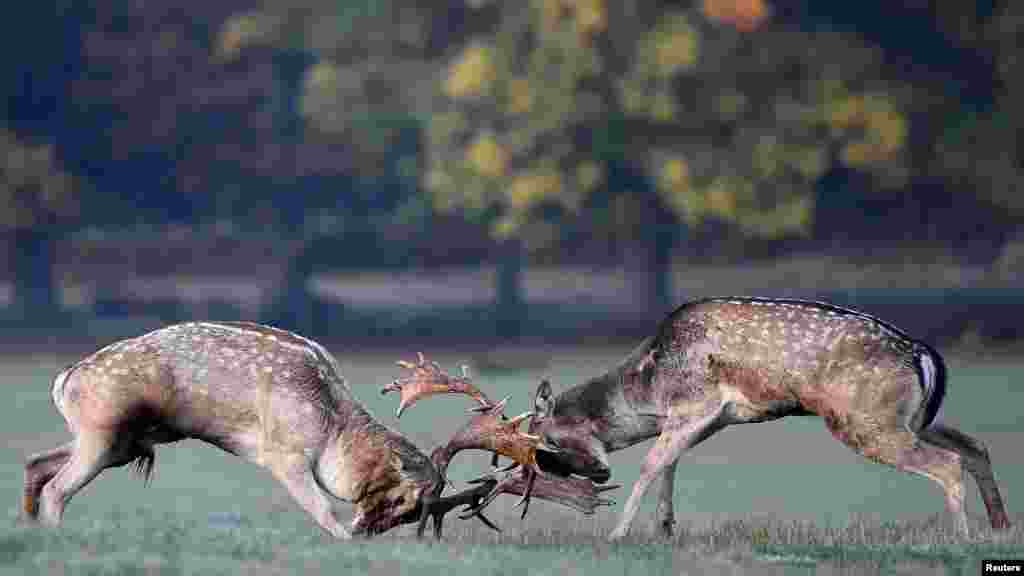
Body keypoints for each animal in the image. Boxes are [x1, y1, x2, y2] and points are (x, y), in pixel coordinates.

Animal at [22, 319, 614, 537]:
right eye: (408, 502)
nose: (368, 533)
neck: (330, 423)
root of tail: (62, 380)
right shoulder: (284, 454)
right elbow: (323, 511)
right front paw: (341, 537)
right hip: (103, 431)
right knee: (58, 487)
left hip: (119, 444)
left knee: (37, 463)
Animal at [512, 295, 1007, 537]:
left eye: (547, 442)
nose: (597, 473)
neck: (649, 387)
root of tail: (923, 354)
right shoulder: (713, 417)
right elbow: (670, 462)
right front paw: (665, 527)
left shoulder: (697, 403)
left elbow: (652, 463)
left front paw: (618, 533)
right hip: (909, 416)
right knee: (976, 446)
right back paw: (1000, 525)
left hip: (865, 419)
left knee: (948, 463)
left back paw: (962, 537)